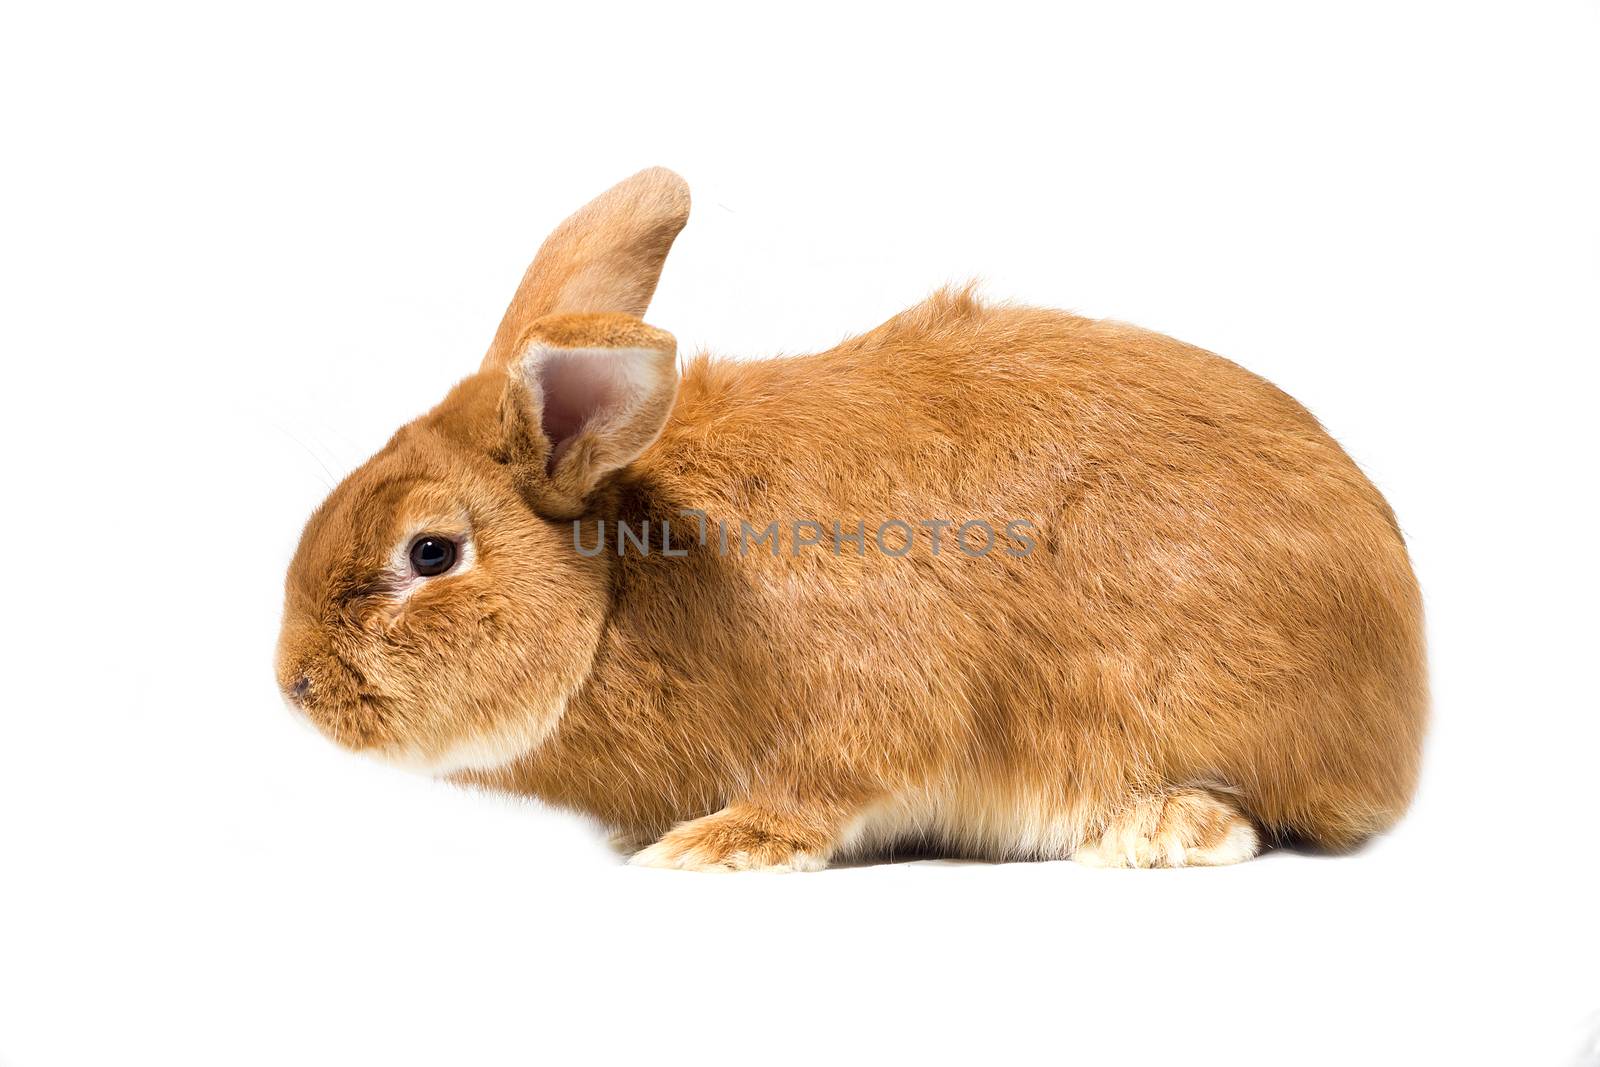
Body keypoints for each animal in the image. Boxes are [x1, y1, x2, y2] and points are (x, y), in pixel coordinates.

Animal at [275, 164, 1427, 870]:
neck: (626, 584)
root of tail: (1402, 714)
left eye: (431, 551)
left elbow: (822, 783)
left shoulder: (862, 708)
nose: (293, 684)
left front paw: (720, 845)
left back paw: (1157, 825)